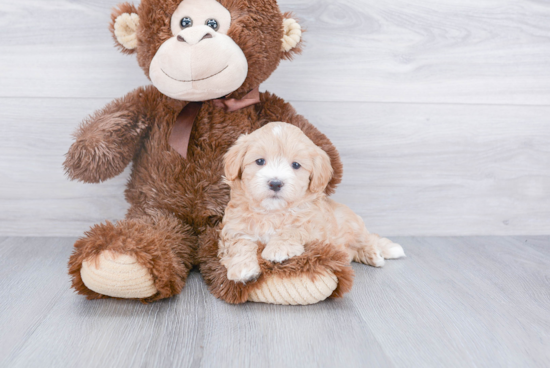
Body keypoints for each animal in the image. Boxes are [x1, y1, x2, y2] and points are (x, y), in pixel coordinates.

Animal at [219, 122, 406, 284]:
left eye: (295, 165)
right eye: (259, 161)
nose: (275, 183)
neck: (273, 212)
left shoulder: (315, 227)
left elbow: (295, 229)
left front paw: (278, 248)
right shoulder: (234, 229)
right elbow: (239, 244)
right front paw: (242, 268)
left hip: (353, 225)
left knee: (367, 240)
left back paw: (375, 254)